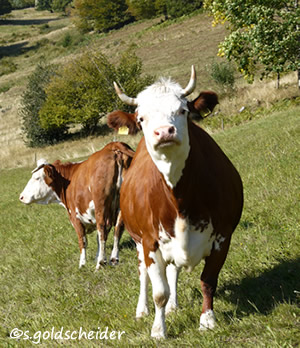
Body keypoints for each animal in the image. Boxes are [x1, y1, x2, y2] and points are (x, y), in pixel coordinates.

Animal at [19, 141, 134, 270]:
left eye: (36, 178)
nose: (21, 196)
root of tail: (113, 145)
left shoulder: (75, 217)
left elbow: (83, 240)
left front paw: (83, 264)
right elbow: (99, 239)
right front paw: (98, 257)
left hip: (101, 206)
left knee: (102, 229)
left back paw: (100, 264)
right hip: (121, 207)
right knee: (118, 229)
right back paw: (113, 259)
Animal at [106, 66, 243, 338]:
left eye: (183, 110)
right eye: (141, 118)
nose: (164, 132)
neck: (179, 198)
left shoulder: (223, 237)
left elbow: (207, 280)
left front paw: (207, 320)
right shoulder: (149, 241)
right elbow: (159, 291)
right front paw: (159, 330)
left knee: (173, 270)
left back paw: (173, 306)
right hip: (138, 241)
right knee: (144, 275)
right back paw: (142, 310)